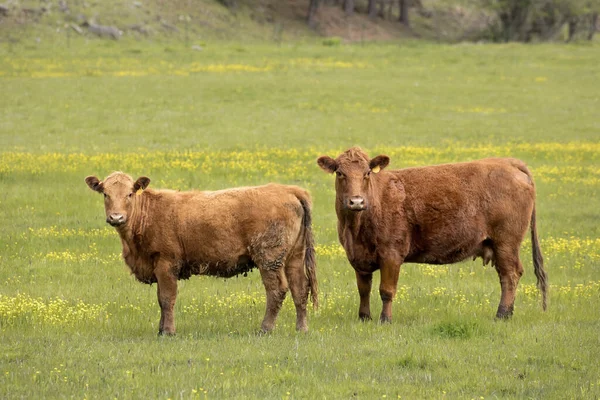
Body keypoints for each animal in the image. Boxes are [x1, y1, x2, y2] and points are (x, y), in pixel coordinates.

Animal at [86, 172, 318, 334]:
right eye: (105, 194)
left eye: (130, 193)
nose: (116, 217)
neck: (148, 213)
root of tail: (288, 190)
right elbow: (161, 299)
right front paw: (161, 329)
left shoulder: (166, 264)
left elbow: (167, 298)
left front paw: (168, 331)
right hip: (294, 257)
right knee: (300, 289)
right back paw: (301, 328)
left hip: (269, 259)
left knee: (277, 290)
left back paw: (265, 328)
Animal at [318, 147, 548, 322]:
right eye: (340, 173)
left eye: (367, 173)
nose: (356, 201)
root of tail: (508, 162)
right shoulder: (359, 258)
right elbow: (363, 289)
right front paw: (364, 318)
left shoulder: (391, 254)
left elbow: (386, 290)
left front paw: (385, 319)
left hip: (506, 243)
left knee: (510, 275)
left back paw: (502, 314)